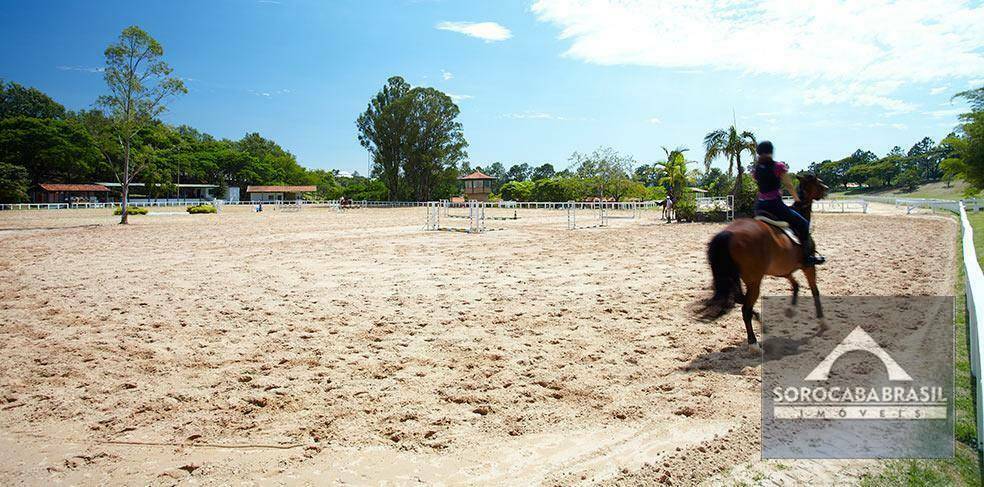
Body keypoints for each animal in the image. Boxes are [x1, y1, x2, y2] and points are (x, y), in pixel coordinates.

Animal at [696, 173, 828, 346]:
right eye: (817, 182)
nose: (826, 189)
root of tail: (729, 233)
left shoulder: (784, 270)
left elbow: (796, 285)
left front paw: (790, 311)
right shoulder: (808, 266)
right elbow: (815, 291)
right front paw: (822, 322)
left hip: (735, 276)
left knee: (740, 300)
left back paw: (762, 324)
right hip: (754, 281)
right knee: (745, 308)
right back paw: (754, 343)